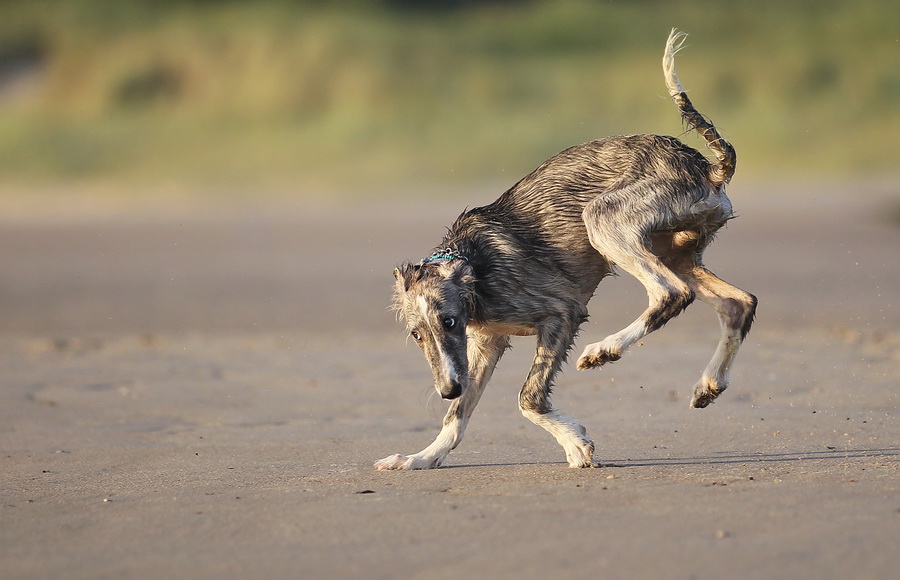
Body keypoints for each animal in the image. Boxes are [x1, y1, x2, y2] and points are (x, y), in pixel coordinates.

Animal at [376, 29, 756, 468]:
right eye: (417, 335)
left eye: (450, 322)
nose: (447, 389)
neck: (472, 266)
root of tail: (706, 168)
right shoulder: (487, 343)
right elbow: (456, 417)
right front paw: (422, 457)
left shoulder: (561, 314)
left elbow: (527, 399)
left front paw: (575, 442)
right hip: (673, 251)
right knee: (738, 302)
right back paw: (709, 384)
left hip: (604, 219)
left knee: (671, 293)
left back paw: (605, 349)